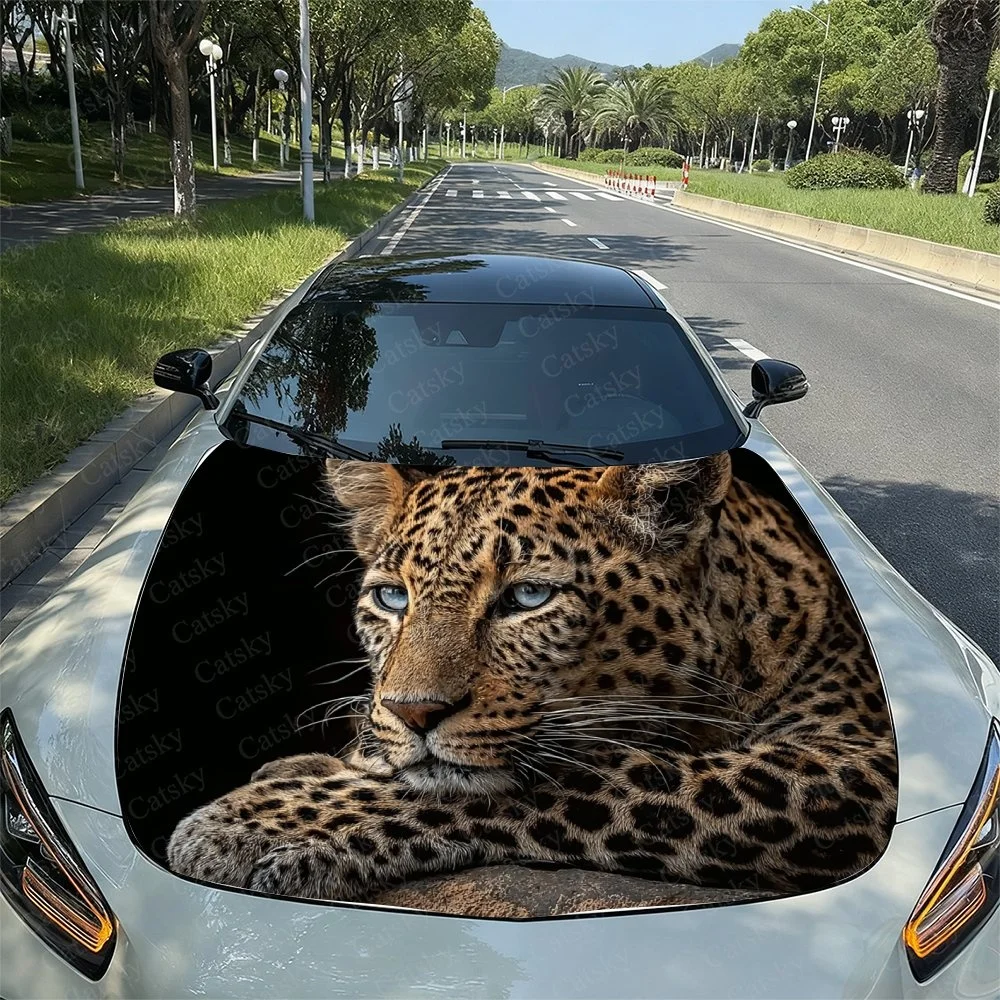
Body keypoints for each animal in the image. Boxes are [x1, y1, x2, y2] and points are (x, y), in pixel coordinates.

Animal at [167, 452, 898, 906]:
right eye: (392, 599)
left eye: (528, 598)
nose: (412, 712)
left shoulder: (857, 758)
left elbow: (570, 779)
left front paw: (263, 821)